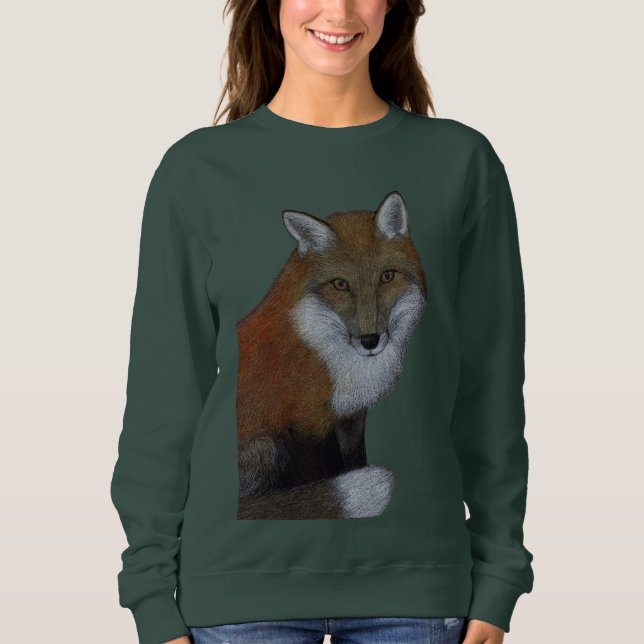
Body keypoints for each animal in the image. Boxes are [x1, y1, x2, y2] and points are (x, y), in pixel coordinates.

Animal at [235, 191, 428, 520]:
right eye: (340, 284)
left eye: (386, 277)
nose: (369, 340)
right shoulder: (304, 425)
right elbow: (316, 476)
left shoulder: (350, 415)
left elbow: (353, 460)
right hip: (268, 445)